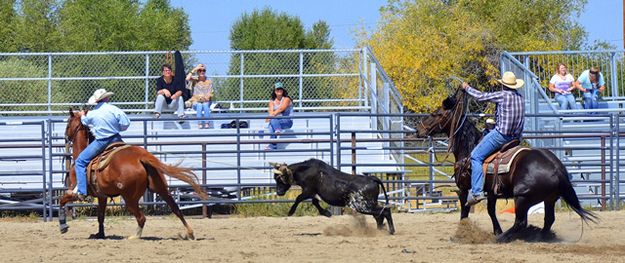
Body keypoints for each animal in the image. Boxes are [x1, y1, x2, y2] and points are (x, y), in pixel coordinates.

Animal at [59, 108, 208, 240]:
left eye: (68, 124)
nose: (65, 136)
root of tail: (140, 156)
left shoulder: (74, 191)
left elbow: (62, 200)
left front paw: (63, 226)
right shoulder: (102, 196)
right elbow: (100, 216)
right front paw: (100, 234)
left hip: (130, 198)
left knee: (141, 217)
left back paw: (134, 237)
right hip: (160, 188)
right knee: (175, 208)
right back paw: (189, 233)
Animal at [414, 88, 596, 243]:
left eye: (436, 113)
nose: (418, 130)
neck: (469, 147)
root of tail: (557, 169)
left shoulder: (464, 187)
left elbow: (465, 211)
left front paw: (462, 234)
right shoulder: (491, 192)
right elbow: (490, 211)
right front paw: (497, 230)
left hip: (522, 197)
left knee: (520, 222)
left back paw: (503, 238)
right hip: (549, 198)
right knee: (548, 220)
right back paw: (537, 236)